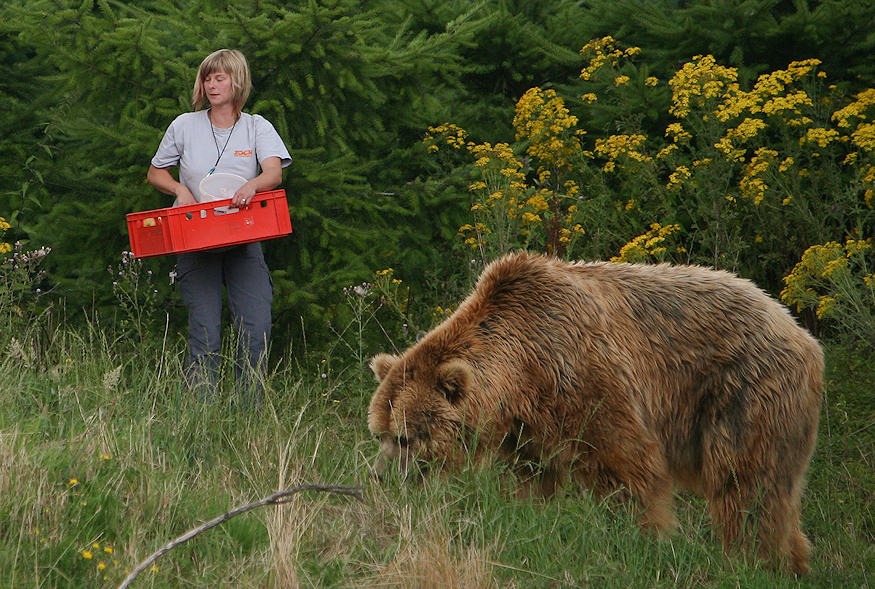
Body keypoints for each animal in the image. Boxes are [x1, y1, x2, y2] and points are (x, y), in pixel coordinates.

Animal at [366, 249, 824, 576]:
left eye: (405, 436)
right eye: (379, 432)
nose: (380, 476)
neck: (522, 370)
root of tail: (799, 330)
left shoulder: (585, 377)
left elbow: (626, 465)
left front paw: (641, 541)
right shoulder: (528, 426)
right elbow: (531, 479)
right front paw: (528, 519)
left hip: (744, 390)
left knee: (747, 484)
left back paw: (753, 561)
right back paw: (793, 563)